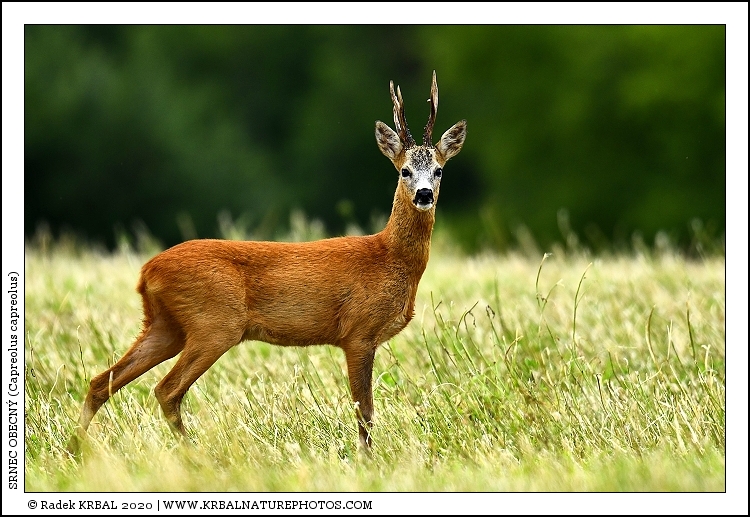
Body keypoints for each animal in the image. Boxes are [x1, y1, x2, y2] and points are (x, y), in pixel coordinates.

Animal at [67, 70, 466, 454]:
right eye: (404, 171)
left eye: (440, 170)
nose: (424, 195)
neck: (389, 257)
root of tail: (146, 271)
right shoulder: (358, 332)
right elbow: (364, 411)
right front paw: (368, 462)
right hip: (214, 323)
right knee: (166, 389)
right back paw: (197, 457)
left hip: (166, 325)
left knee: (101, 381)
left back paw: (74, 451)